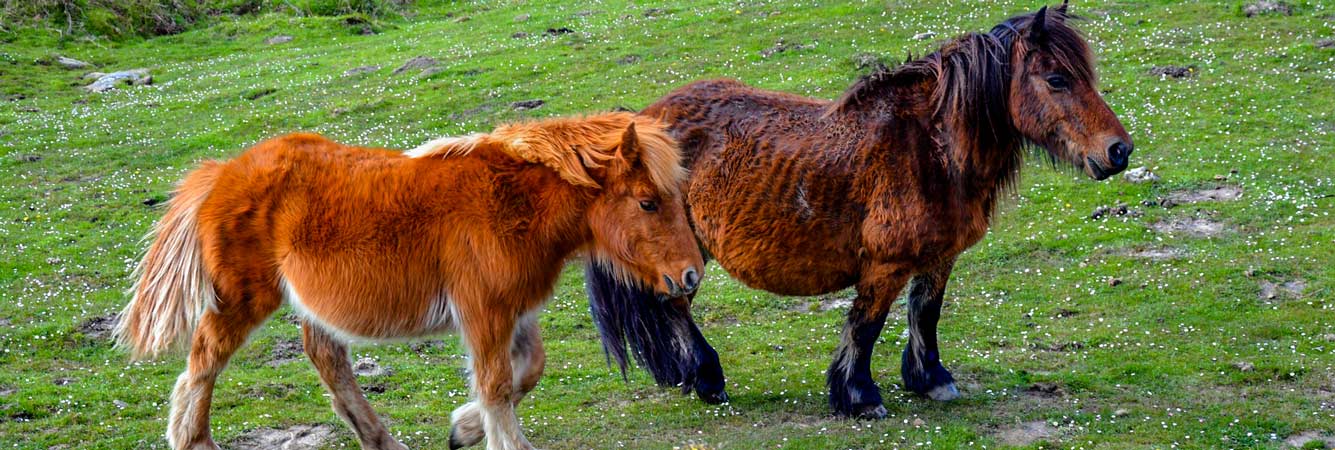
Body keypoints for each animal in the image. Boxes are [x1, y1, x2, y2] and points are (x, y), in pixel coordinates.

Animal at [112, 110, 710, 445]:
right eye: (648, 202)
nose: (690, 276)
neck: (509, 204)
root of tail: (222, 173)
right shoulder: (484, 313)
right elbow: (496, 387)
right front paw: (498, 439)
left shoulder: (515, 312)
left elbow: (529, 373)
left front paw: (462, 430)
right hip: (241, 299)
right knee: (202, 365)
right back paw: (194, 441)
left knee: (327, 361)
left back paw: (381, 441)